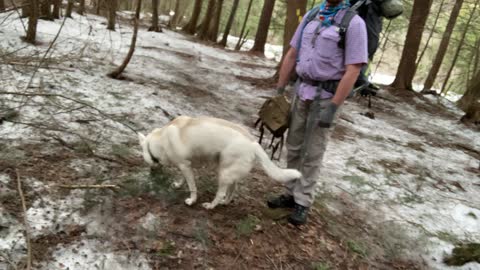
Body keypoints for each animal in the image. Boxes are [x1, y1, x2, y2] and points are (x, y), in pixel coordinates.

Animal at [137, 115, 300, 210]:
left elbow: (192, 187)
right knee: (232, 189)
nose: (151, 172)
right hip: (229, 172)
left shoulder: (185, 166)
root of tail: (254, 143)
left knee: (221, 193)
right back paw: (225, 203)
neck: (160, 140)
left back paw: (211, 205)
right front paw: (178, 184)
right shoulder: (186, 166)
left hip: (223, 173)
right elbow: (183, 180)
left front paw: (192, 200)